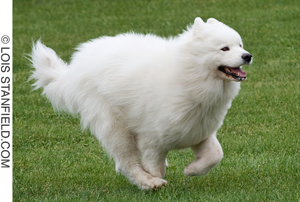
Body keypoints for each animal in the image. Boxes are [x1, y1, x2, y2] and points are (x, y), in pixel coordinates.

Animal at [29, 17, 252, 189]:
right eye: (224, 48)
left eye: (240, 45)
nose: (247, 56)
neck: (190, 75)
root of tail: (74, 70)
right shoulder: (151, 140)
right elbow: (154, 166)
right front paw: (155, 181)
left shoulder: (198, 132)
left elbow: (216, 155)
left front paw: (191, 170)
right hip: (116, 128)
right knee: (125, 163)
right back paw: (148, 183)